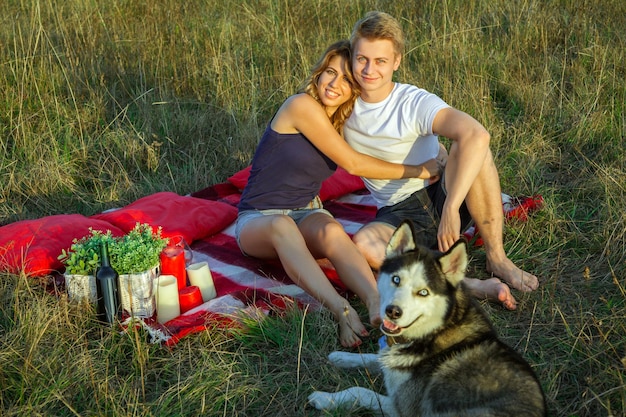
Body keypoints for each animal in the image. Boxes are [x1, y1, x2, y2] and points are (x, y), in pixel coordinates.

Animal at [310, 219, 544, 414]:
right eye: (396, 279)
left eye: (423, 292)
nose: (393, 311)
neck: (433, 333)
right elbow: (374, 356)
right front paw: (341, 357)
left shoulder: (402, 407)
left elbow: (360, 391)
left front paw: (324, 398)